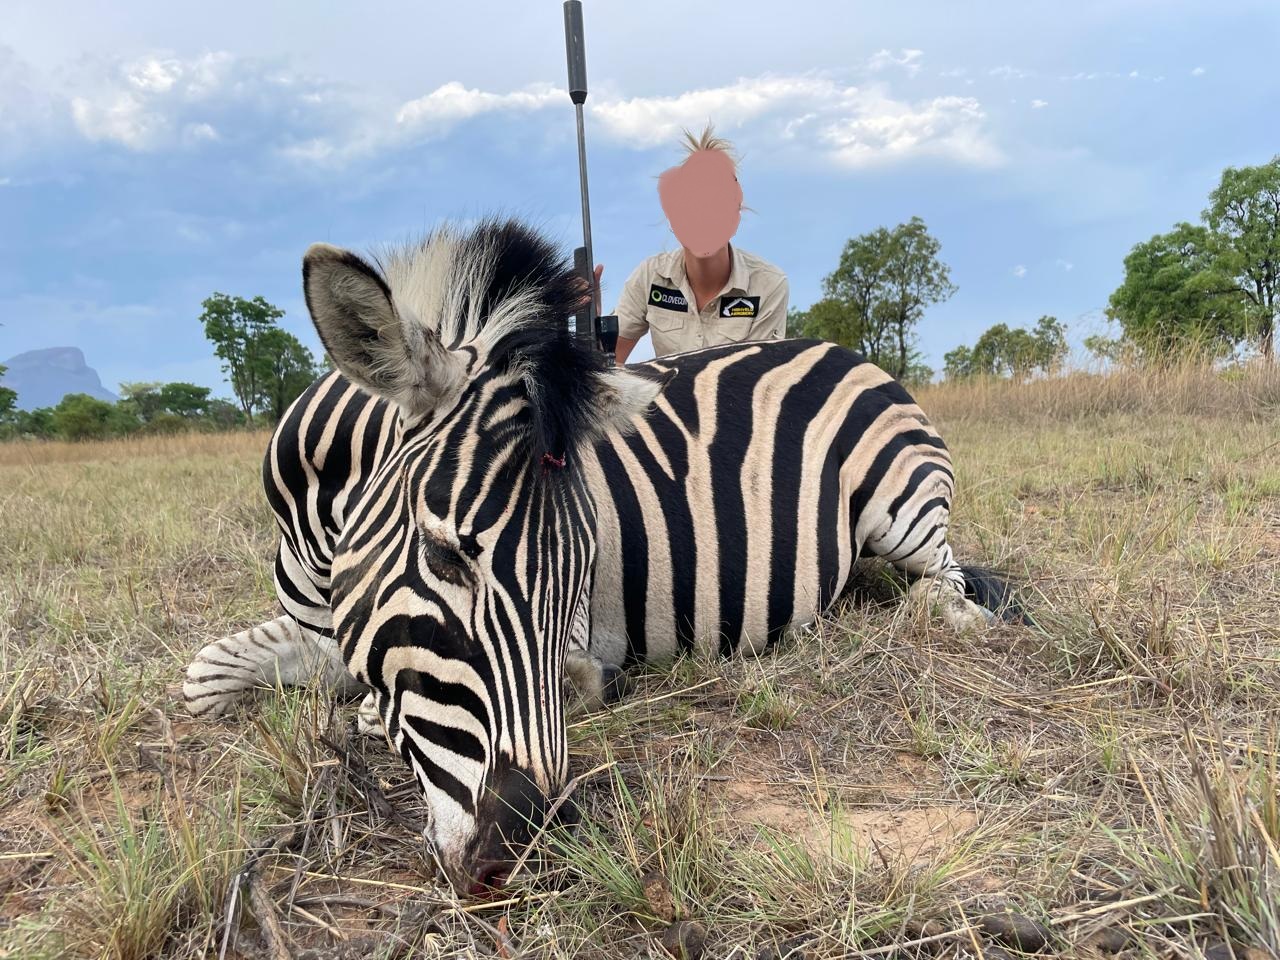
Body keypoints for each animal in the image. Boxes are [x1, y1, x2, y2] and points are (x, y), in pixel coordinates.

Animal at [183, 218, 1028, 896]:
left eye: (583, 574)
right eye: (445, 555)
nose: (522, 849)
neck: (316, 530)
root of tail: (846, 350)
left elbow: (367, 703)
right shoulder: (323, 626)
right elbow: (203, 679)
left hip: (901, 506)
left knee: (946, 588)